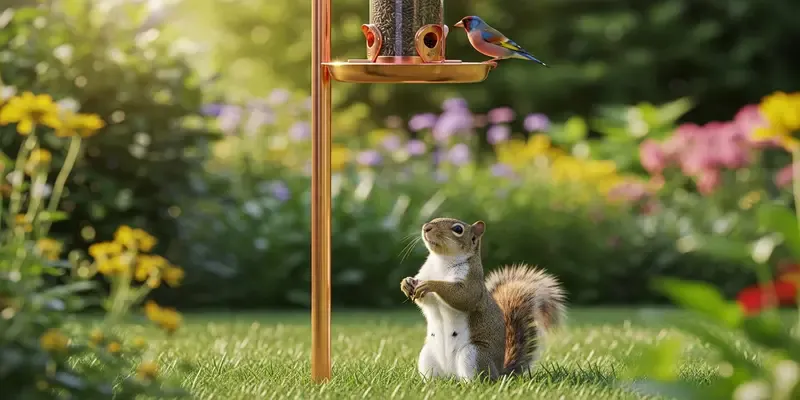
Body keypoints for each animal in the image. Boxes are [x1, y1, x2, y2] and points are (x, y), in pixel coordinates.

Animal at [400, 217, 566, 381]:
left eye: (458, 229)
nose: (426, 228)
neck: (442, 260)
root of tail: (500, 372)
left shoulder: (472, 282)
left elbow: (464, 297)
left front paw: (431, 284)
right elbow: (424, 300)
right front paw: (406, 283)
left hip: (474, 354)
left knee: (480, 379)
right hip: (427, 356)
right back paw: (431, 383)